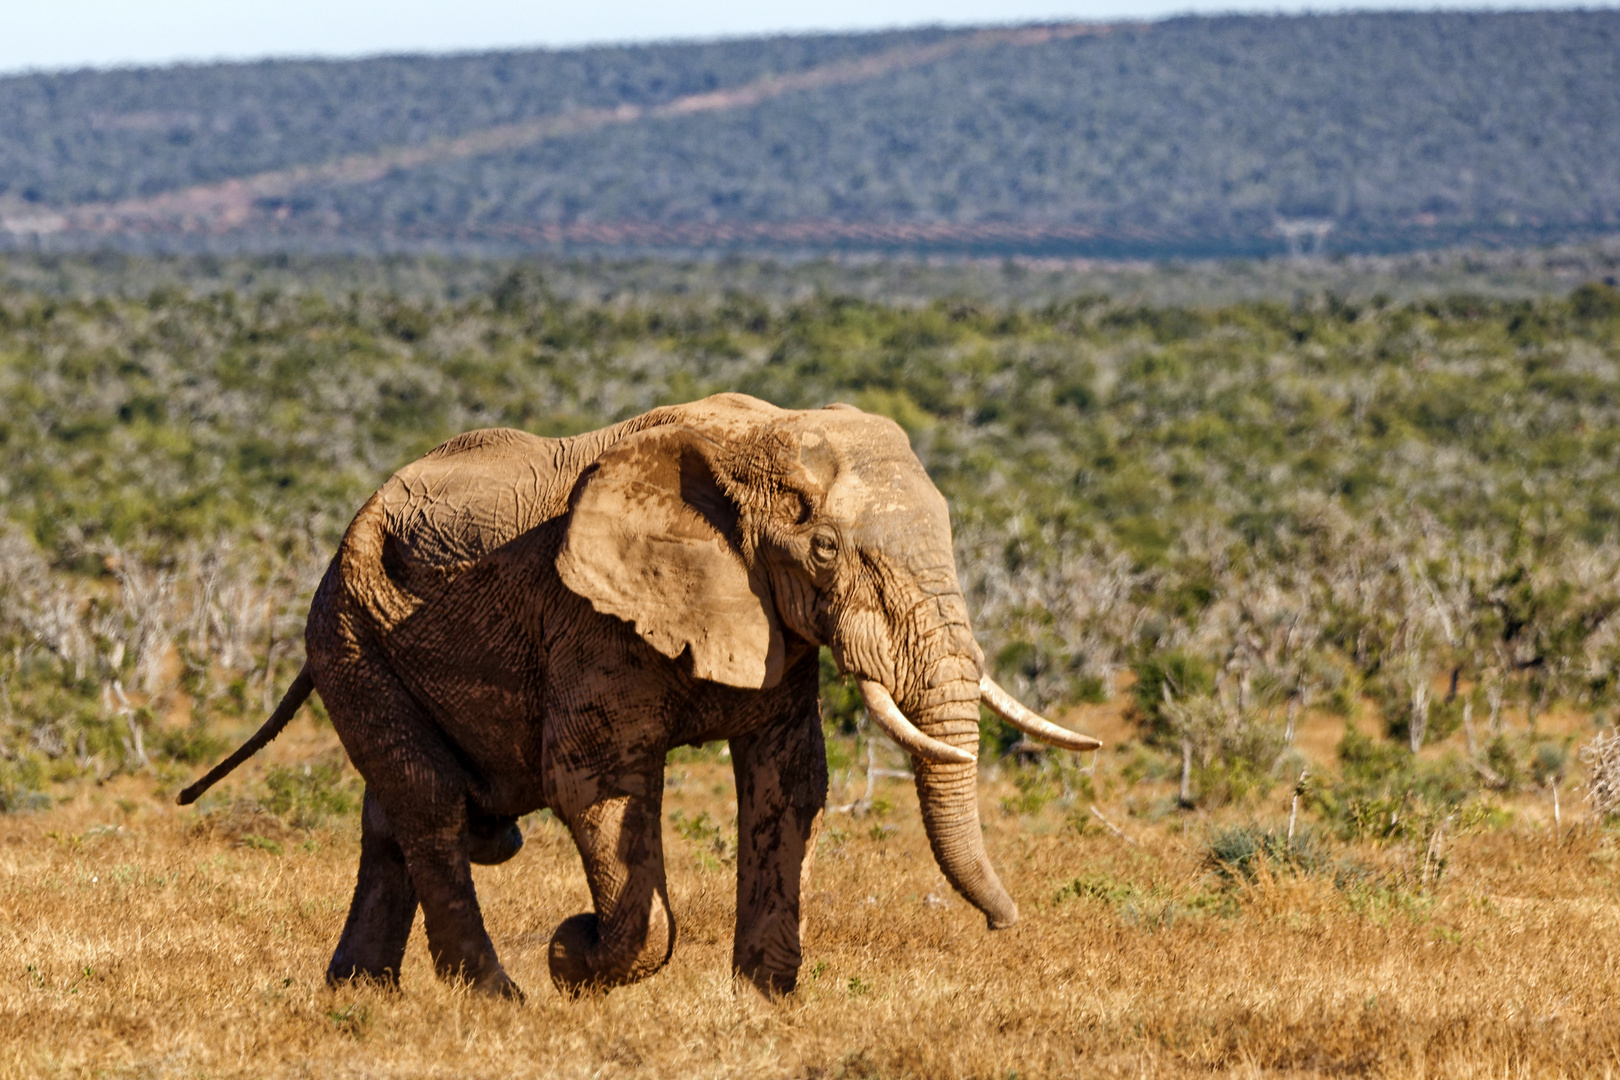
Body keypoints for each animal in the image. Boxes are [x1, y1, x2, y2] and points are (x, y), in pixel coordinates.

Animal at [180, 393, 1101, 1003]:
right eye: (828, 552)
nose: (1006, 926)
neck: (751, 441)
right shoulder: (590, 617)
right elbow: (596, 783)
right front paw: (574, 958)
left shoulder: (770, 621)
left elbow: (788, 778)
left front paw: (765, 999)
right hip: (347, 633)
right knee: (429, 803)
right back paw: (497, 999)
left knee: (390, 818)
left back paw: (359, 996)